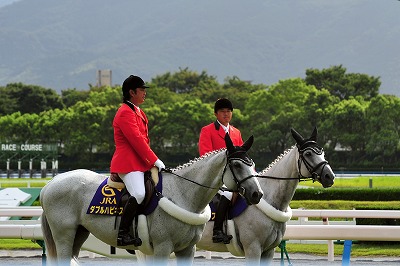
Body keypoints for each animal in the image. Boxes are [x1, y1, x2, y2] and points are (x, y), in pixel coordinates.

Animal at [39, 134, 262, 266]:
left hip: (79, 233)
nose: (256, 195)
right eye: (237, 165)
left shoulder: (187, 249)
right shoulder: (163, 248)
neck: (182, 193)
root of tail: (50, 183)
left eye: (252, 163)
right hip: (64, 236)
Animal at [196, 128, 334, 264]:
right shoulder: (253, 248)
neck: (269, 198)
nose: (330, 176)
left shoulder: (268, 251)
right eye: (308, 154)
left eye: (322, 153)